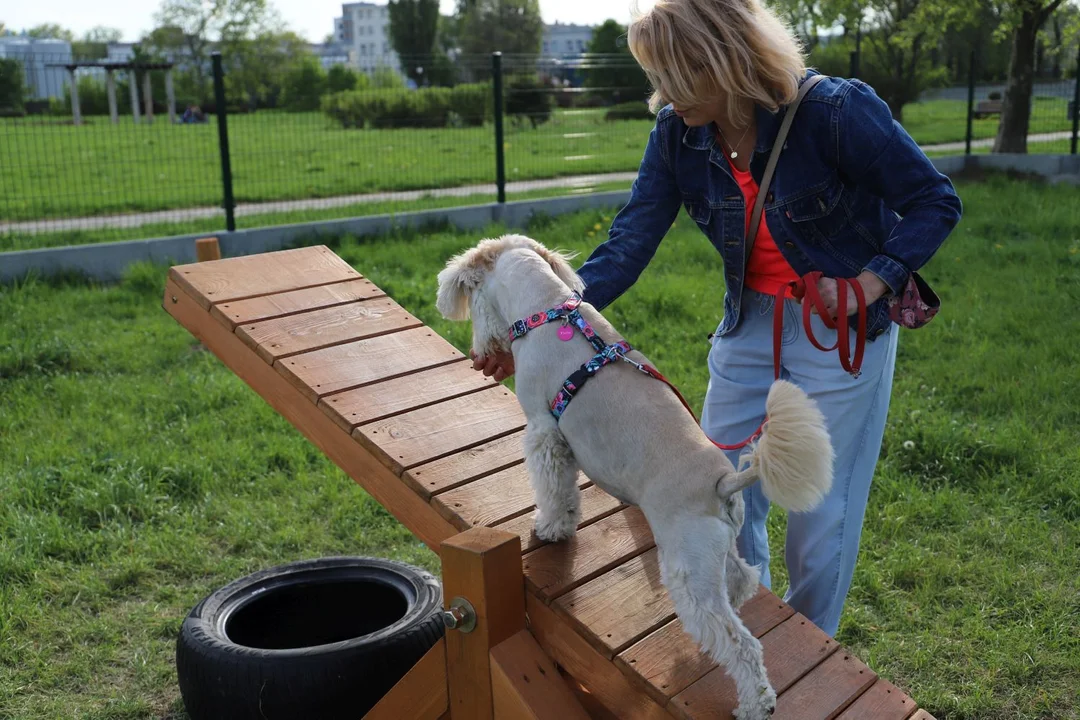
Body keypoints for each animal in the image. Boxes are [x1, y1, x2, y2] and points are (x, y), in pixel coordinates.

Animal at [434, 234, 829, 716]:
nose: (481, 353)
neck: (547, 306)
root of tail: (724, 482)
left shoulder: (545, 432)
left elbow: (553, 489)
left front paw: (551, 528)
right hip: (713, 552)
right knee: (741, 581)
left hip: (687, 567)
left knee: (742, 644)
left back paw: (755, 704)